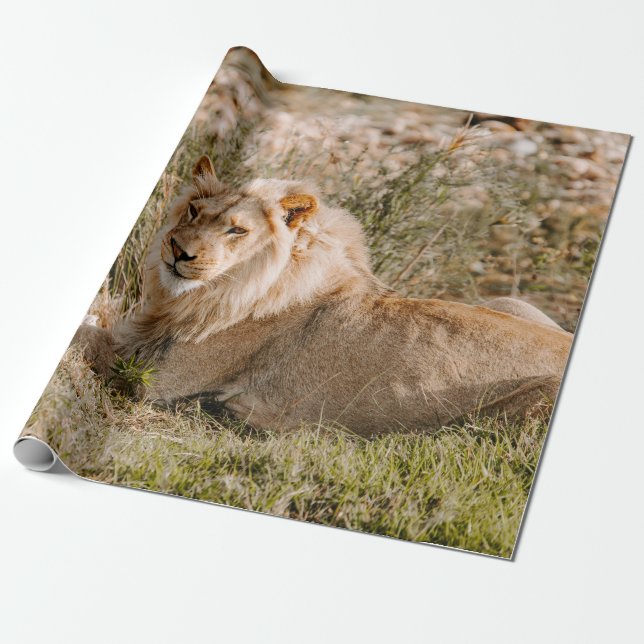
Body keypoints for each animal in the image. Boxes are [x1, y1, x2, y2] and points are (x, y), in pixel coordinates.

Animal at [75, 155, 572, 436]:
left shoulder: (158, 381)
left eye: (237, 230)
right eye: (194, 211)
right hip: (513, 303)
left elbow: (88, 342)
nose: (179, 251)